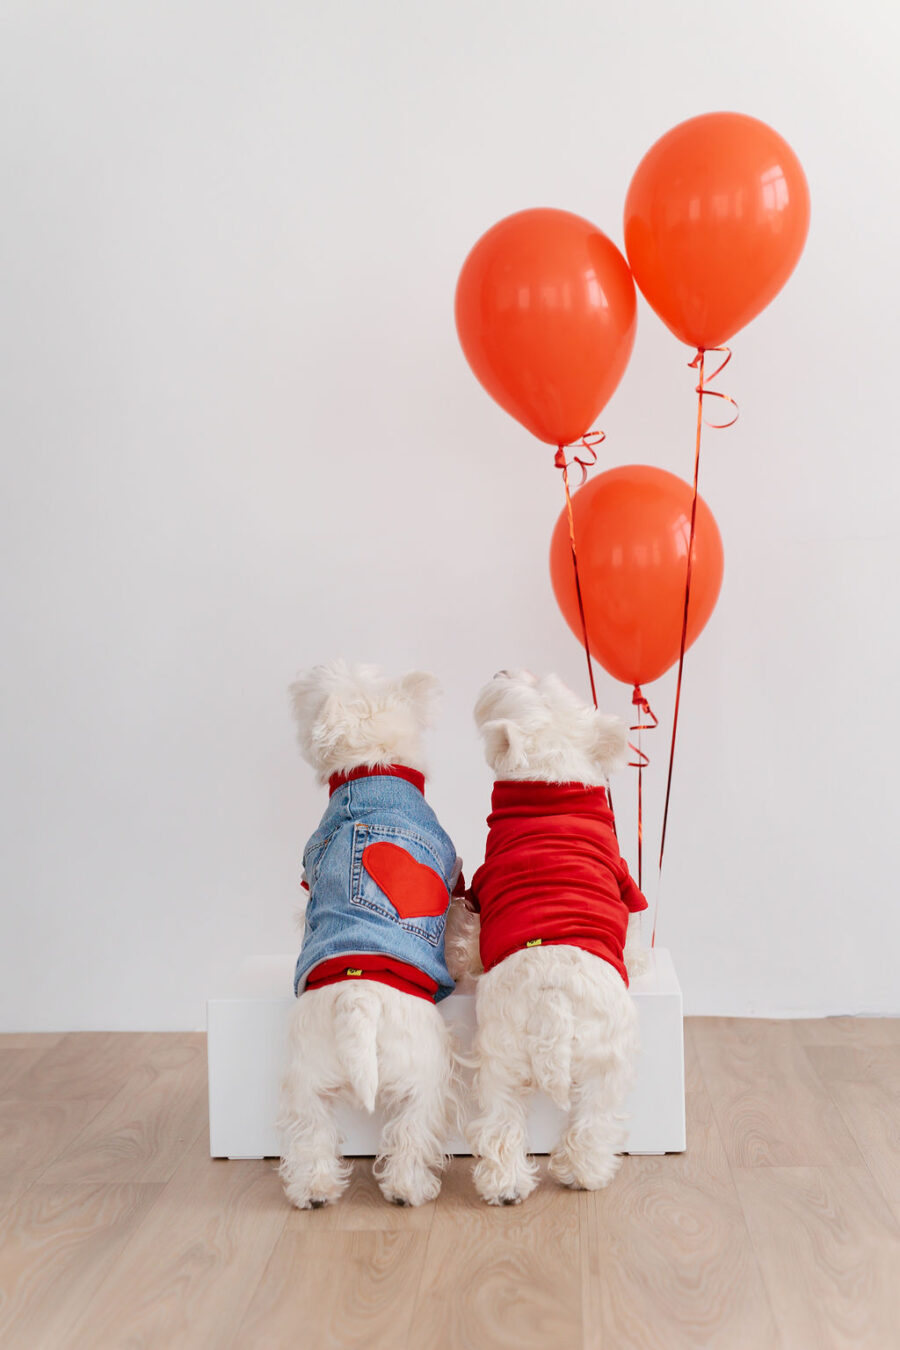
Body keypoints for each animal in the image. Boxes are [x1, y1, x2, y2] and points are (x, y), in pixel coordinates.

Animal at [277, 658, 469, 1209]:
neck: (372, 770)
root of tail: (358, 997)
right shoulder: (455, 878)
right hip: (427, 1070)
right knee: (414, 1131)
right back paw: (410, 1189)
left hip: (307, 1075)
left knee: (311, 1134)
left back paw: (315, 1191)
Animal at [458, 672, 647, 1204]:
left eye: (541, 680)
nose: (503, 669)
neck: (551, 776)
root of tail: (553, 1000)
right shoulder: (626, 885)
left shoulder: (479, 890)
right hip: (600, 1059)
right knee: (586, 1123)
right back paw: (577, 1176)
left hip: (508, 1056)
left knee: (506, 1124)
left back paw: (516, 1186)